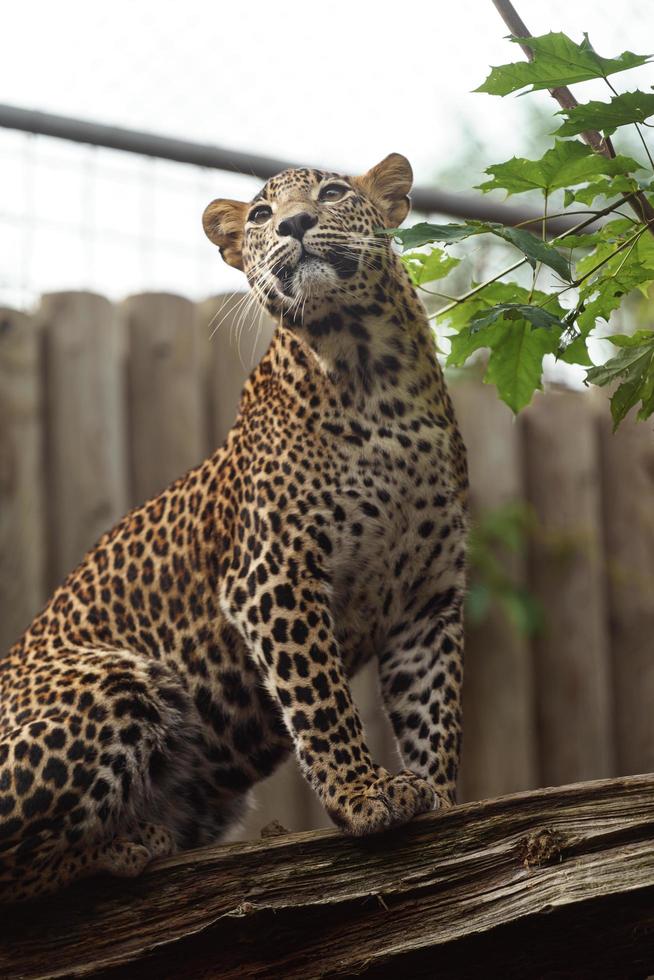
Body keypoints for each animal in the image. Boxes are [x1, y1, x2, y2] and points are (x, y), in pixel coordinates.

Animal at [1, 155, 472, 904]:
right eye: (258, 215)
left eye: (332, 193)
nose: (296, 224)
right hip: (119, 681)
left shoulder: (429, 597)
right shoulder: (273, 575)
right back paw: (126, 845)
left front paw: (440, 799)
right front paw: (363, 794)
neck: (375, 373)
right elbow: (322, 700)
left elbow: (434, 710)